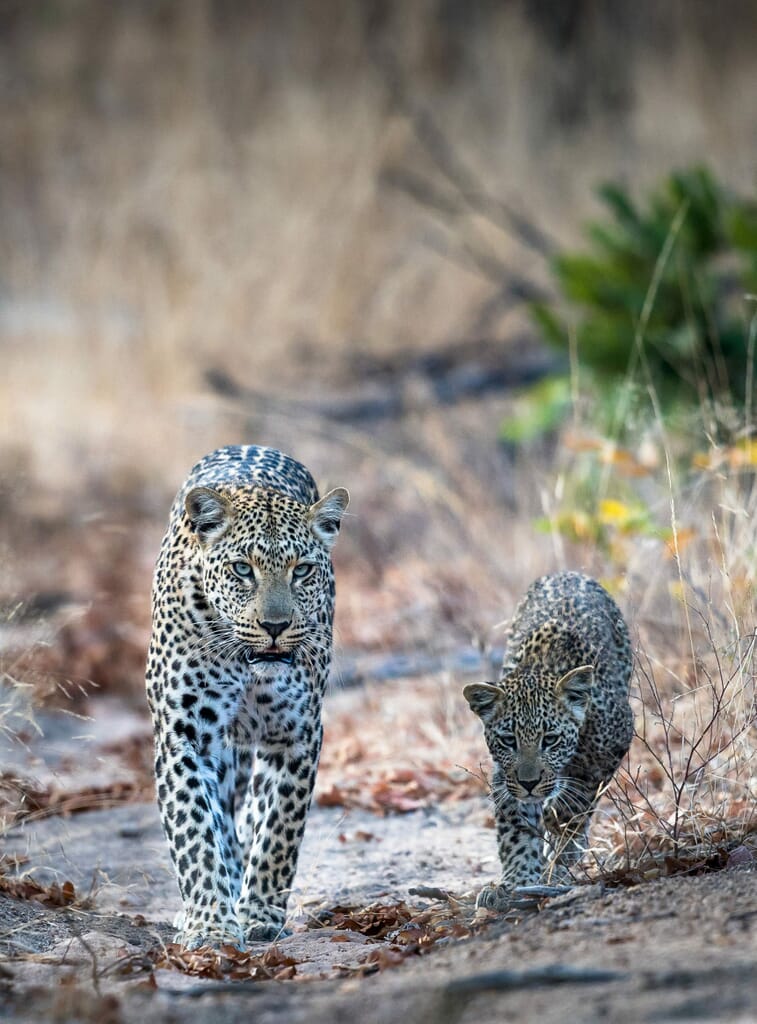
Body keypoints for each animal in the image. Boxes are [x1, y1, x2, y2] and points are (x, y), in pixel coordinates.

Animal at [146, 445, 349, 950]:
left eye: (302, 570)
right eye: (242, 569)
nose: (275, 627)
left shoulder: (297, 733)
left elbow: (278, 828)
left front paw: (257, 914)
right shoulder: (184, 735)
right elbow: (195, 830)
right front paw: (211, 924)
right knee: (222, 818)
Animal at [464, 571, 633, 910]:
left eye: (551, 739)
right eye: (508, 740)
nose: (529, 783)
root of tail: (567, 572)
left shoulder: (613, 744)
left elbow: (573, 807)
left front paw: (556, 860)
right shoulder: (505, 777)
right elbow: (516, 829)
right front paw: (517, 882)